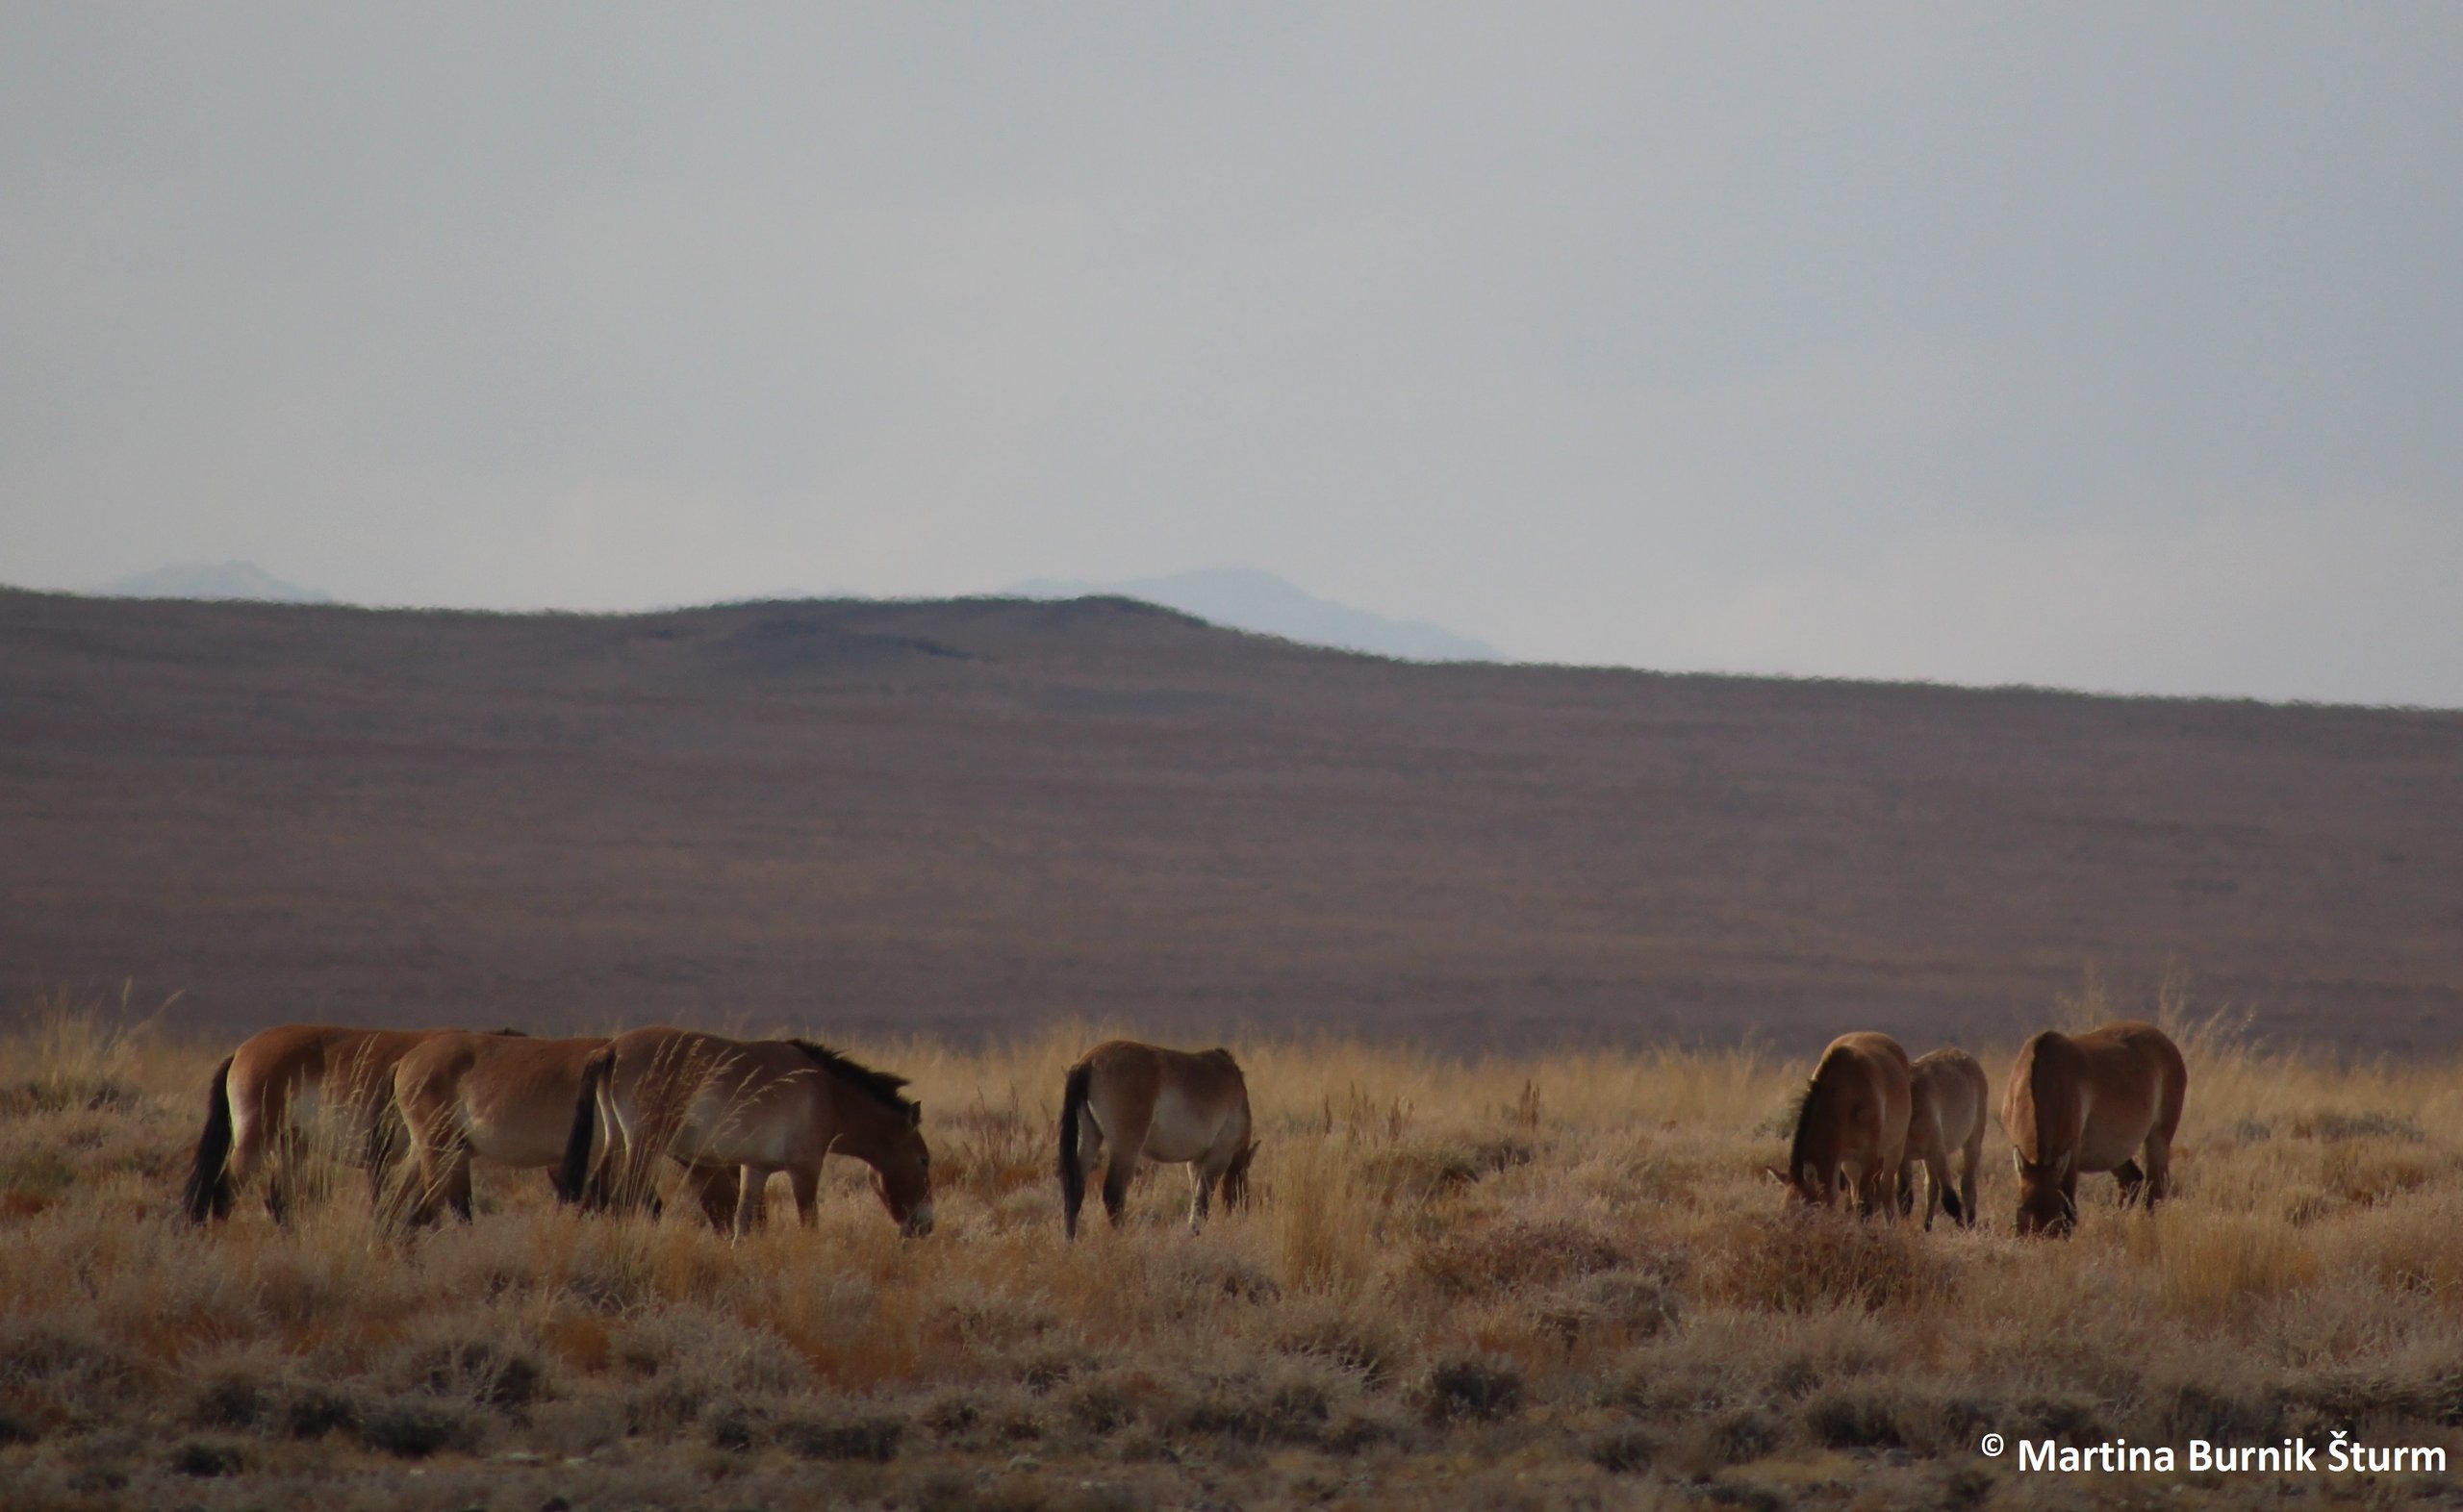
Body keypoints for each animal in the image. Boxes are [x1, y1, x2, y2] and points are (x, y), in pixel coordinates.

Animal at [559, 1029, 930, 1246]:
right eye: (924, 1161)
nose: (926, 1225)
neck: (828, 1093)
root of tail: (613, 1048)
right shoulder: (805, 1170)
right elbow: (809, 1223)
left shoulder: (755, 1169)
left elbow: (742, 1222)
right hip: (644, 1148)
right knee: (621, 1200)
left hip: (617, 1143)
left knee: (595, 1197)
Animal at [1058, 1044, 1260, 1246]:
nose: (1243, 1219)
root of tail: (1087, 1062)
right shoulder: (1219, 1156)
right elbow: (1201, 1203)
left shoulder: (1195, 1161)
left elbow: (1196, 1199)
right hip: (1125, 1149)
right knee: (1113, 1195)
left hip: (1089, 1137)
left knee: (1075, 1191)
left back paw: (1070, 1242)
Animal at [1763, 1029, 1911, 1221]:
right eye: (1784, 1210)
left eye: (1807, 1212)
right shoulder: (1842, 1160)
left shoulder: (1868, 1158)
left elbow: (1864, 1206)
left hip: (1894, 1151)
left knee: (1886, 1190)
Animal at [1892, 1053, 1990, 1231]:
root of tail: (1968, 1057)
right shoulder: (1904, 1157)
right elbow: (1904, 1197)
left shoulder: (1938, 1152)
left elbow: (1950, 1198)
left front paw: (1963, 1230)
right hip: (1926, 1158)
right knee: (1931, 1187)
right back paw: (1927, 1227)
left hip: (1972, 1143)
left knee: (1967, 1187)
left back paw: (1971, 1225)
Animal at [1999, 1019, 2196, 1246]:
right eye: (2022, 1210)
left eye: (2059, 1213)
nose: (2041, 1240)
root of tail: (2167, 1043)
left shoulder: (2071, 1155)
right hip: (2115, 1154)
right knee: (2132, 1180)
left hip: (2158, 1138)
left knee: (2154, 1190)